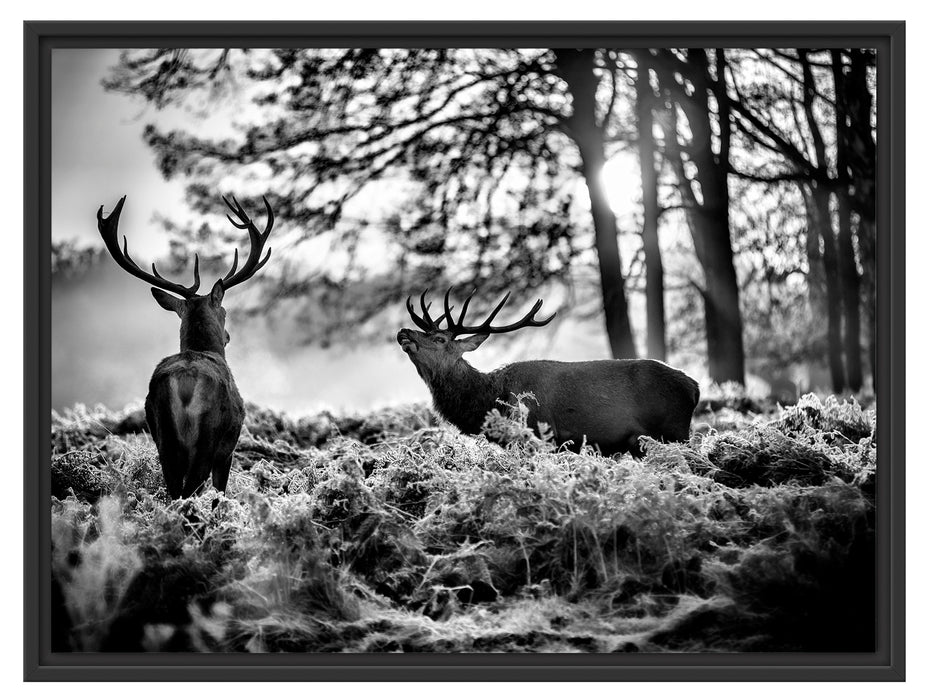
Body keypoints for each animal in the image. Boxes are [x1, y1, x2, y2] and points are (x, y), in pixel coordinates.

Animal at [98, 191, 274, 498]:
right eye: (224, 312)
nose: (228, 336)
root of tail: (184, 384)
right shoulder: (228, 450)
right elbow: (219, 492)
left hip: (162, 435)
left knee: (173, 488)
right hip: (208, 437)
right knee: (191, 487)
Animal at [398, 288, 700, 456]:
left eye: (440, 339)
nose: (404, 331)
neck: (491, 399)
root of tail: (694, 387)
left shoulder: (539, 430)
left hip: (675, 431)